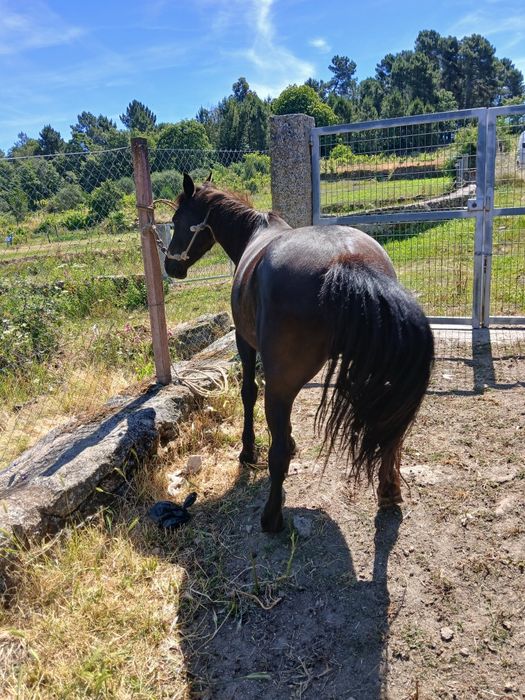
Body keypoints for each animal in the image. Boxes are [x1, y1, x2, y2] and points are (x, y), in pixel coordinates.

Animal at [164, 174, 434, 533]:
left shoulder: (244, 342)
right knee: (390, 433)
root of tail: (347, 262)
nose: (170, 266)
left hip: (281, 383)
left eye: (176, 220)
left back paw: (271, 517)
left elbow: (248, 392)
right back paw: (388, 490)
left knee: (277, 451)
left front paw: (248, 451)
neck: (255, 233)